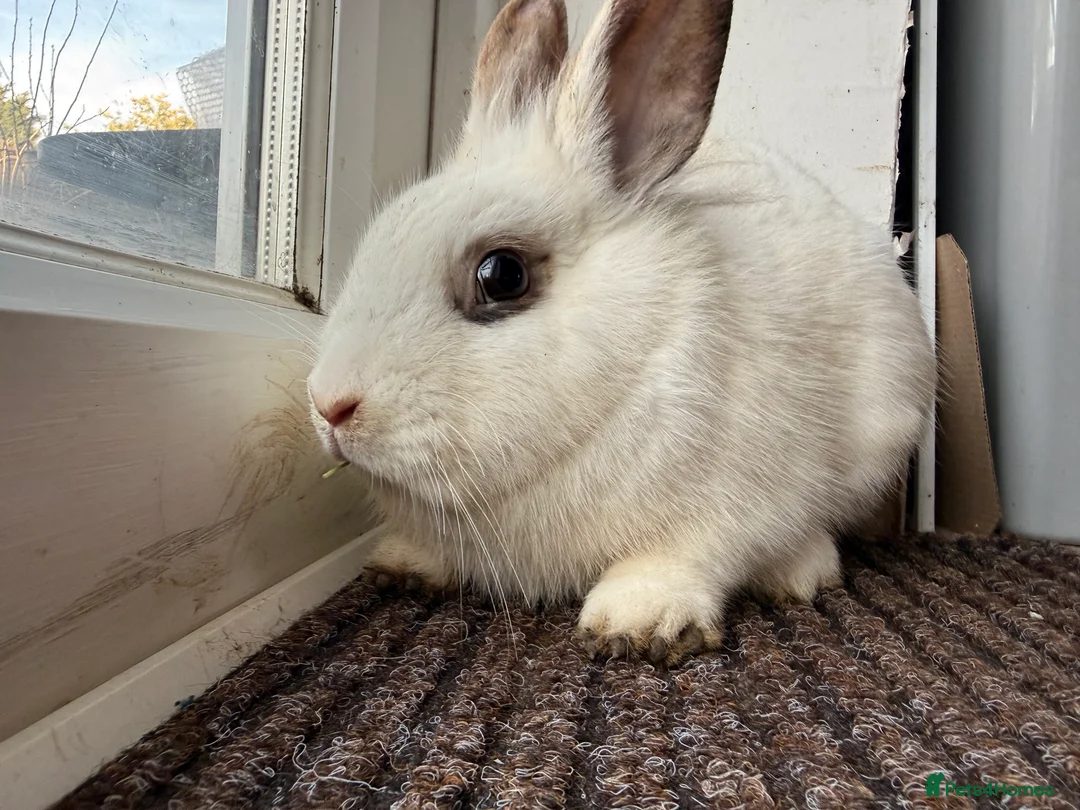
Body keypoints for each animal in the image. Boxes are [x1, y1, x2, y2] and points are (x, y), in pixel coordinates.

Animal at [307, 0, 936, 666]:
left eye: (502, 275)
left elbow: (684, 558)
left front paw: (636, 622)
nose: (330, 404)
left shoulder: (724, 511)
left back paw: (801, 573)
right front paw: (402, 564)